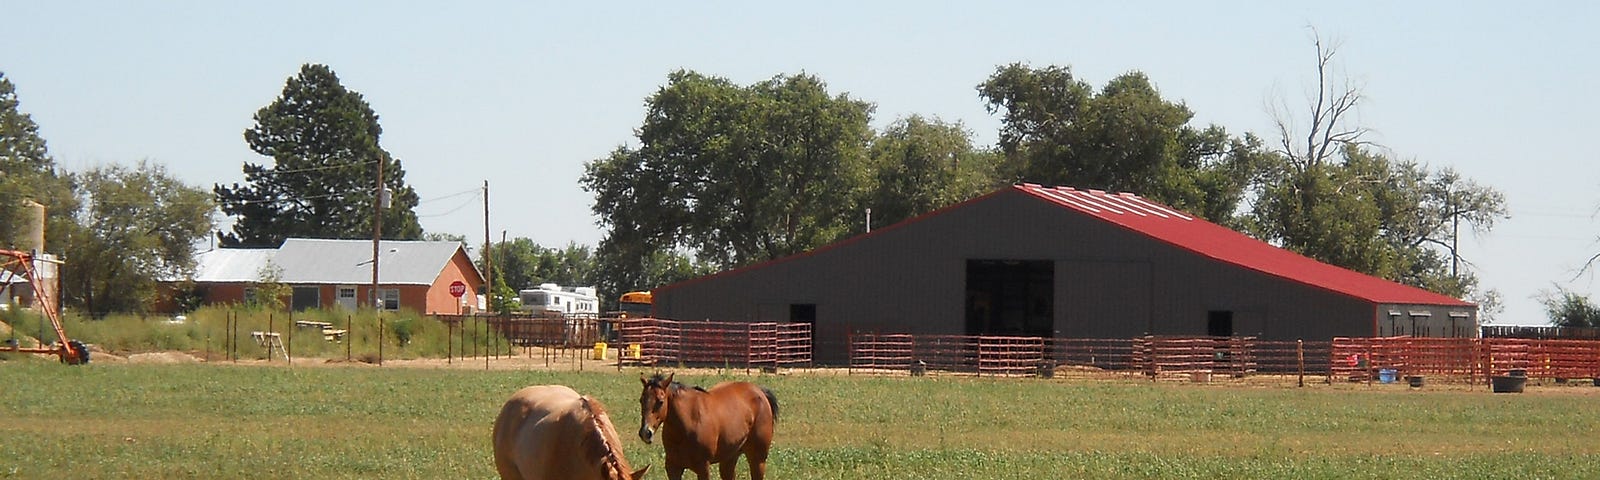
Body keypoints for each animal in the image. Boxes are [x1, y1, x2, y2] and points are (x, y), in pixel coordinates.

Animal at [633, 374, 777, 480]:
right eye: (641, 400)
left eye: (660, 402)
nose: (645, 432)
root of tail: (759, 391)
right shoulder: (673, 467)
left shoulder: (703, 468)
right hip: (729, 459)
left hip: (758, 460)